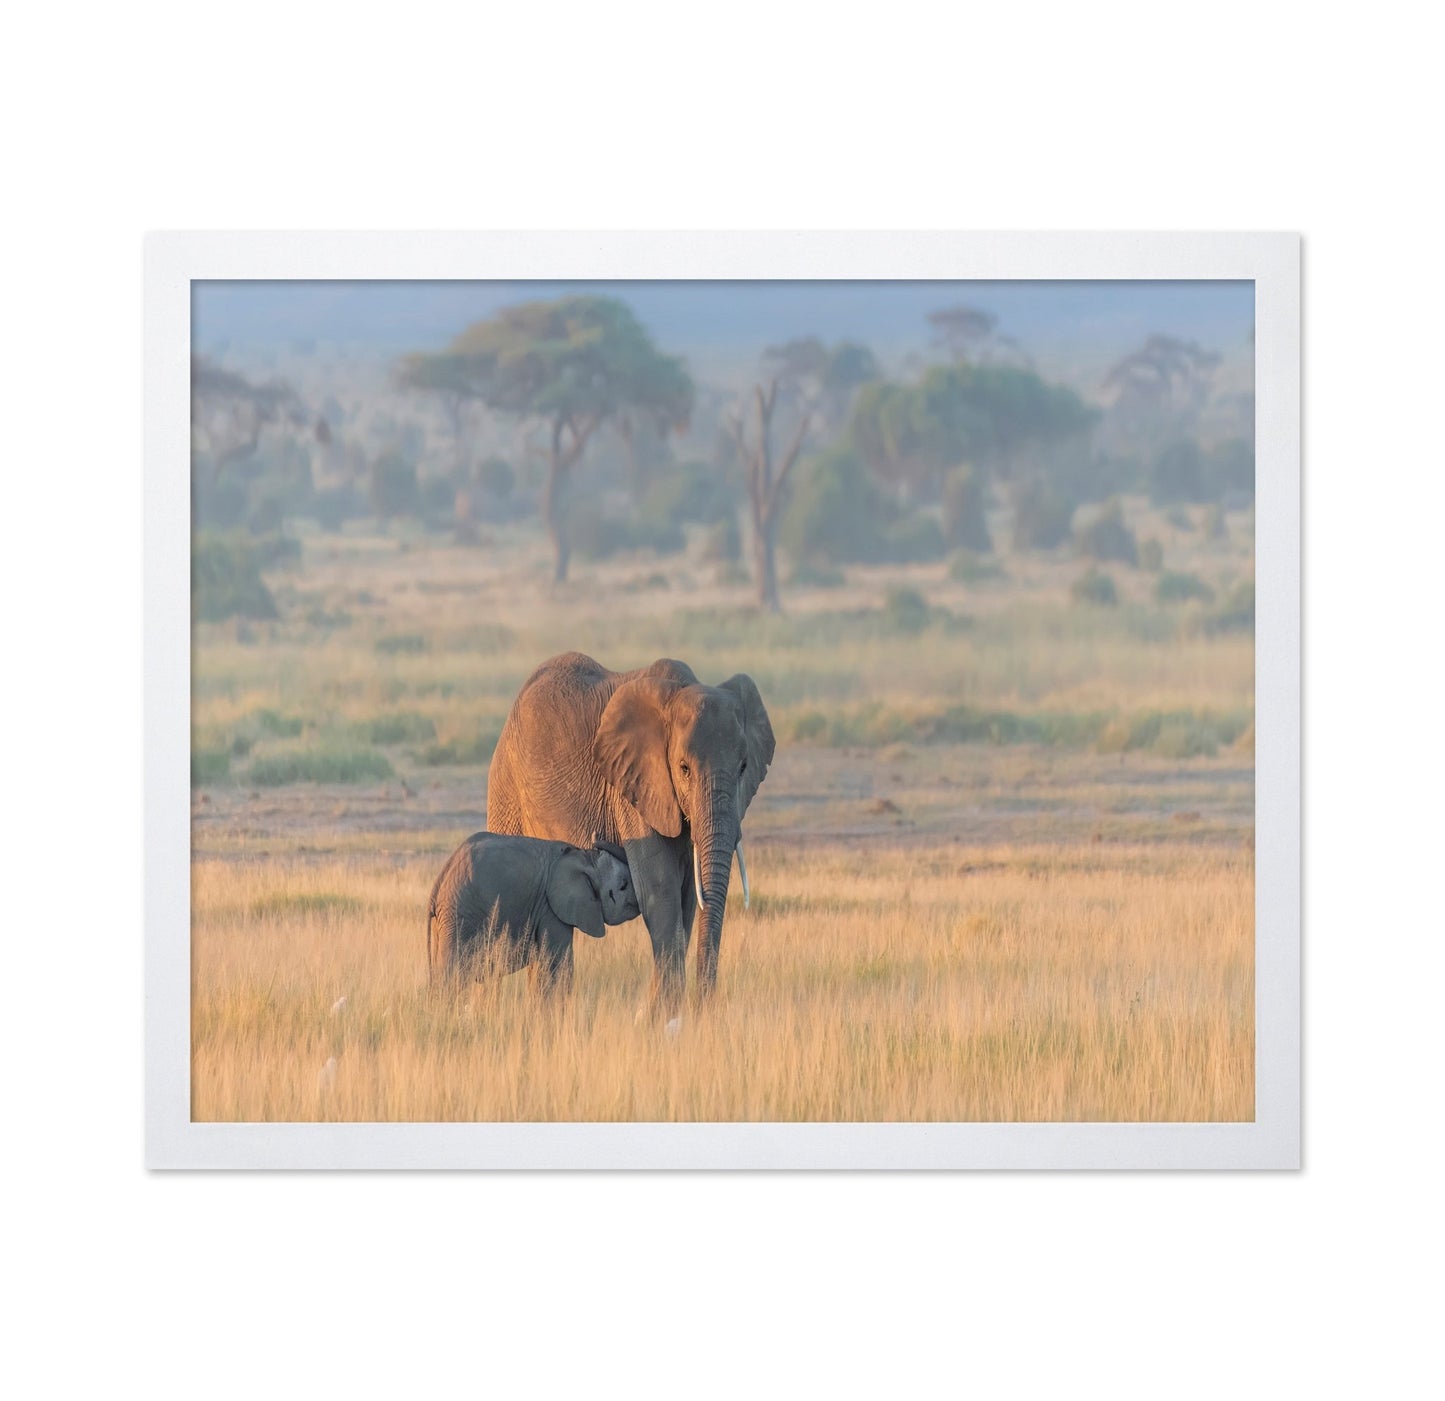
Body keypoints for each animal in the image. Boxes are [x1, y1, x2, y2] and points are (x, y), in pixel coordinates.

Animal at [426, 832, 638, 993]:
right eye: (624, 885)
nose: (597, 835)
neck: (586, 859)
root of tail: (438, 884)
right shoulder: (550, 908)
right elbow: (558, 964)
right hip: (460, 915)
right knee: (451, 976)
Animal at [486, 653, 775, 1019]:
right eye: (683, 769)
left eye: (743, 767)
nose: (703, 1008)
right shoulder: (634, 785)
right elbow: (660, 890)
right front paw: (664, 1017)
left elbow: (686, 898)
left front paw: (659, 1015)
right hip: (506, 786)